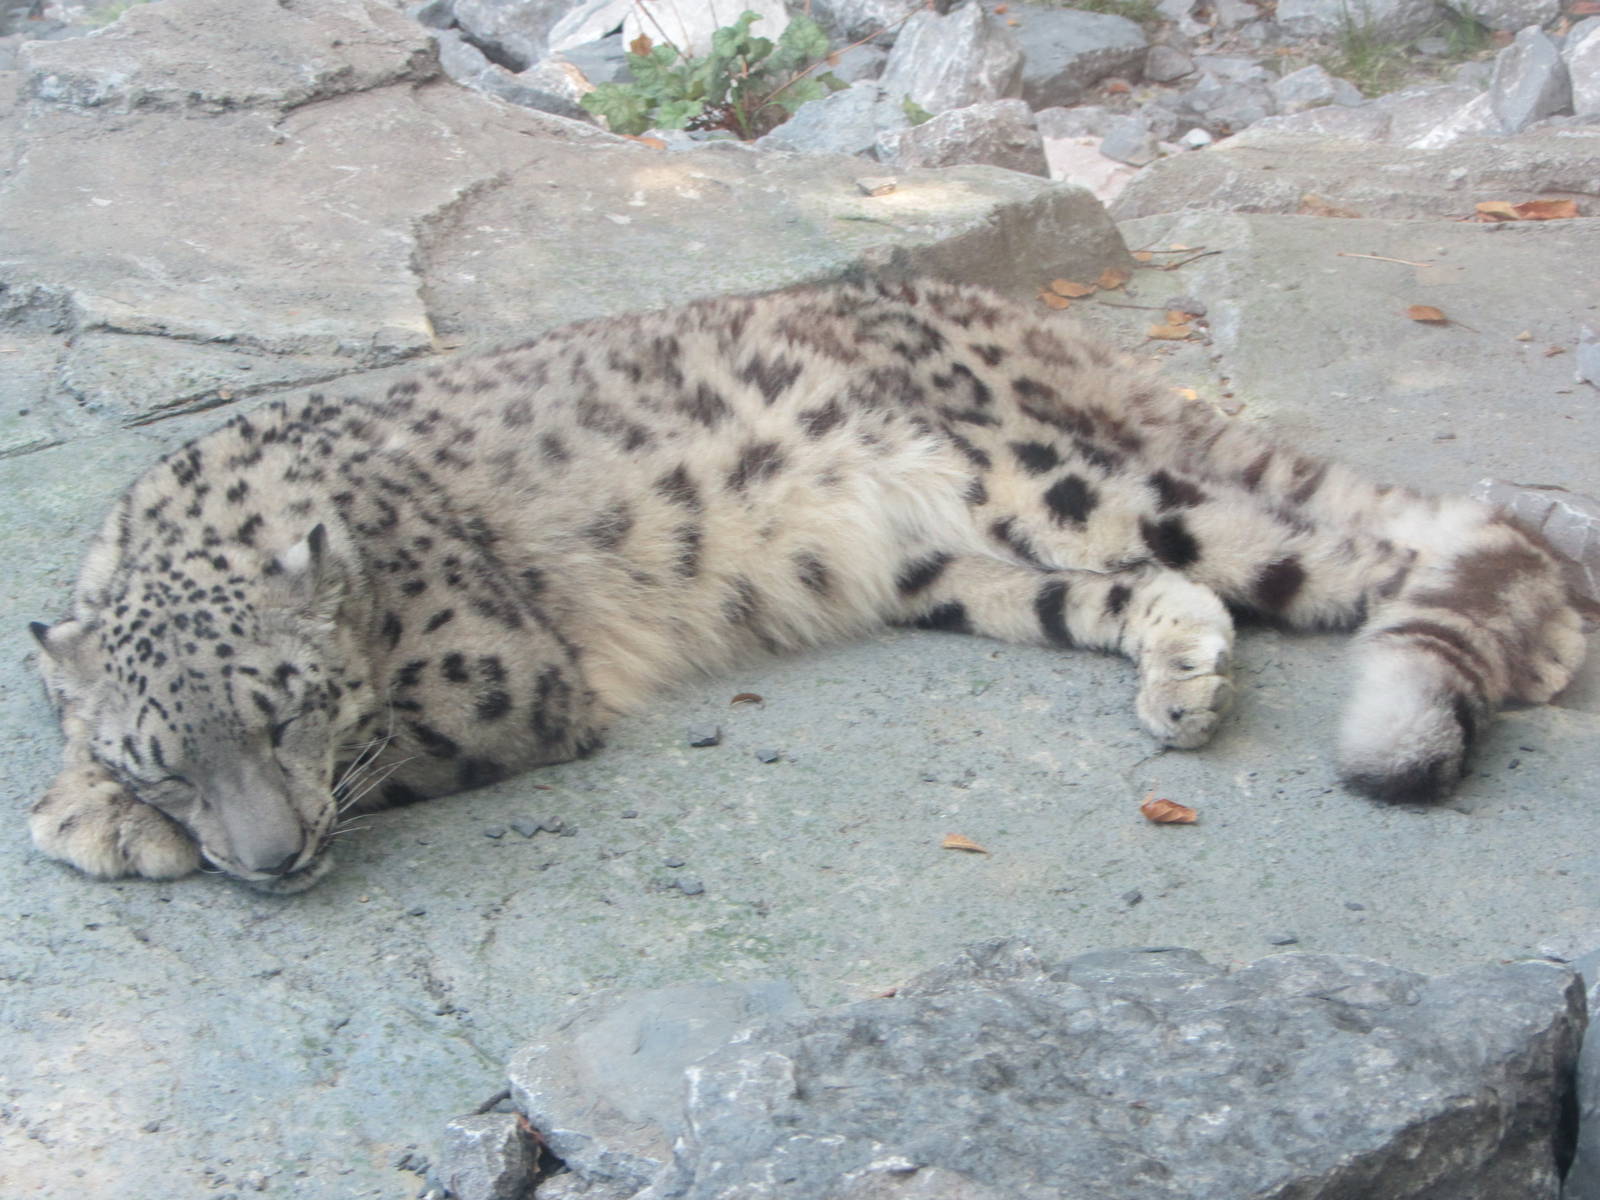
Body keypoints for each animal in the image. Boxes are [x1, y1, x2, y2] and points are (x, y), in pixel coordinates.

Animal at [27, 278, 1589, 893]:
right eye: (167, 754)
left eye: (290, 712)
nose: (270, 859)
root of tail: (993, 312)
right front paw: (92, 800)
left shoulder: (494, 678)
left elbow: (400, 748)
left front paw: (86, 823)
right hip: (946, 564)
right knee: (1133, 584)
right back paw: (1181, 675)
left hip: (1033, 468)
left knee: (1382, 550)